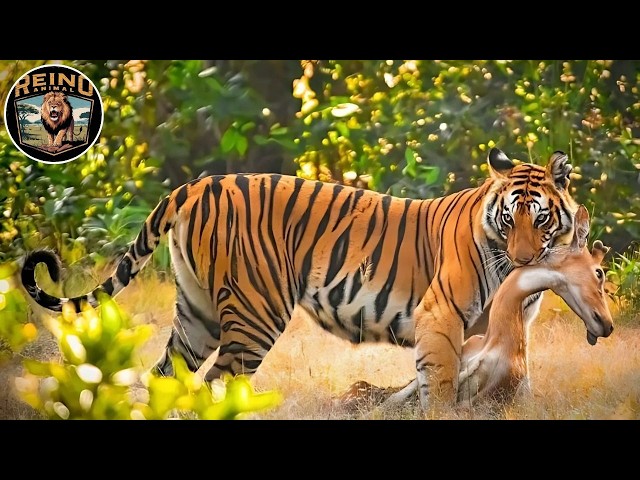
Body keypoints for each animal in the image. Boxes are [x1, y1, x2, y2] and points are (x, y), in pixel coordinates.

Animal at [21, 147, 587, 409]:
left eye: (539, 219)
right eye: (509, 219)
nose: (521, 259)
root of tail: (197, 185)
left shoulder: (502, 326)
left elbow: (505, 372)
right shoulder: (442, 316)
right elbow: (441, 383)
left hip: (198, 313)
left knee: (168, 375)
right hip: (254, 315)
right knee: (216, 384)